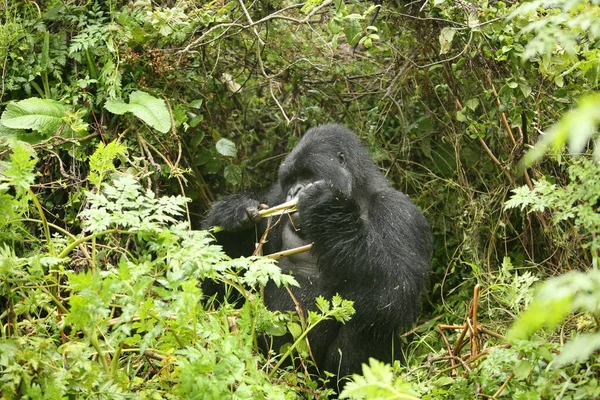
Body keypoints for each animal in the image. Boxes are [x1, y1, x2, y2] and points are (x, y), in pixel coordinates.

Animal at [202, 124, 432, 388]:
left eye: (308, 175)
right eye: (290, 180)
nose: (294, 190)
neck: (358, 194)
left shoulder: (401, 212)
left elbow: (395, 292)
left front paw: (327, 209)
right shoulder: (274, 199)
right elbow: (225, 279)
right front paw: (233, 215)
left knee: (370, 320)